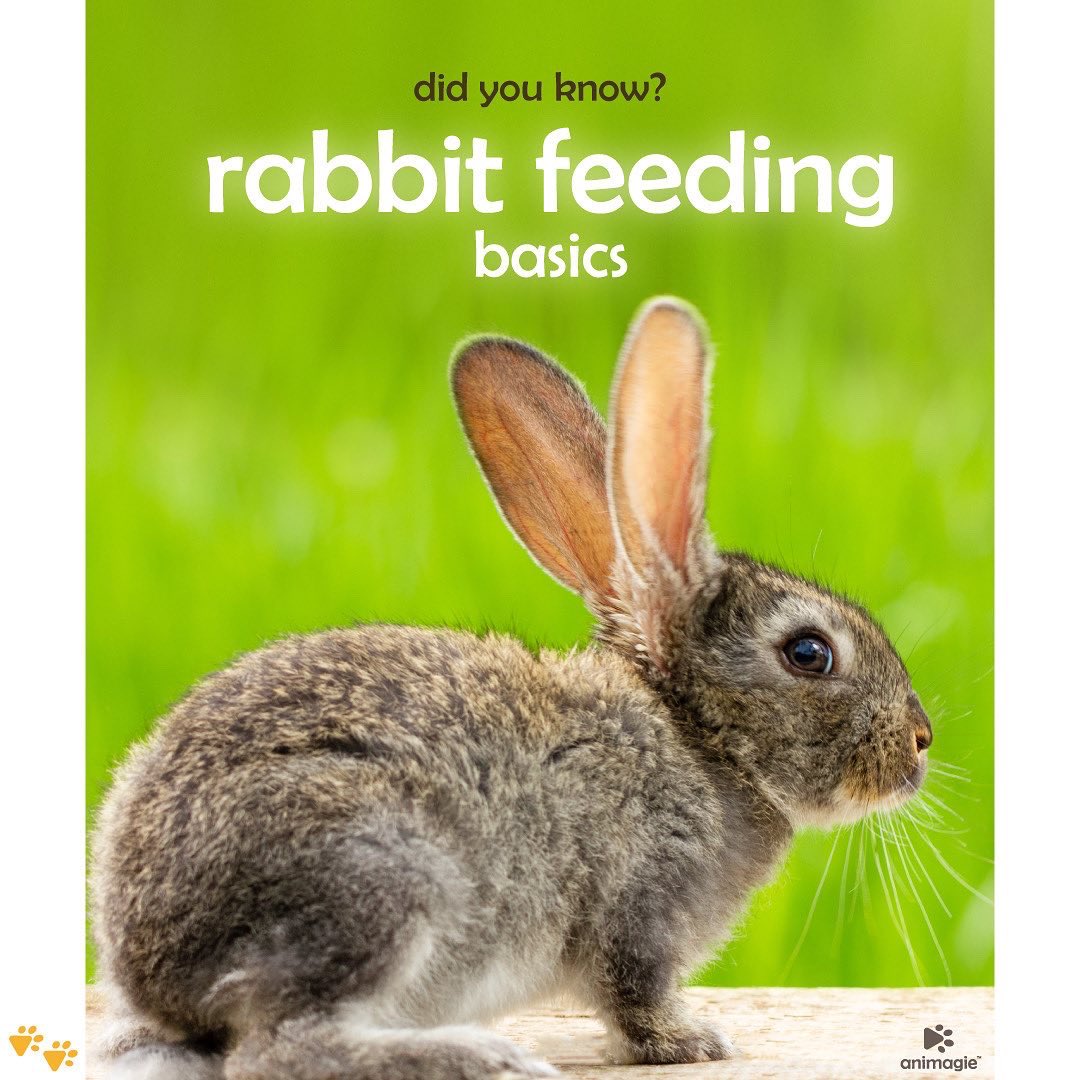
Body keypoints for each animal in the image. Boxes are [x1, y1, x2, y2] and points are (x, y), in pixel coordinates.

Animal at [91, 298, 933, 1080]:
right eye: (809, 653)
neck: (699, 738)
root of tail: (150, 960)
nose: (921, 742)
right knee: (281, 1048)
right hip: (380, 877)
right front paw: (690, 1042)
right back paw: (480, 1054)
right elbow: (634, 995)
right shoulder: (638, 905)